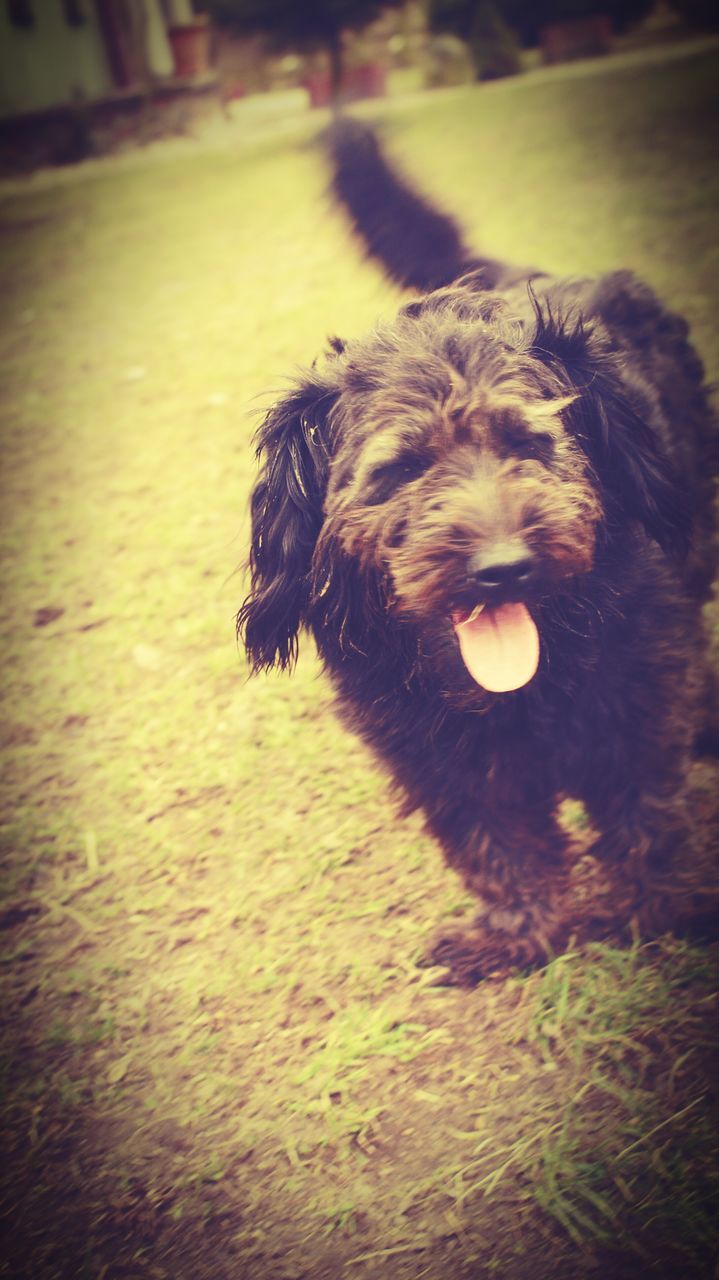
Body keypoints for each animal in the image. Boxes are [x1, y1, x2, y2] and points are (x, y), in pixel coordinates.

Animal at [239, 117, 716, 977]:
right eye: (399, 468)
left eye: (528, 440)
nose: (502, 570)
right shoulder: (432, 752)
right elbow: (494, 839)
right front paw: (517, 932)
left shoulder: (638, 691)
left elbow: (643, 809)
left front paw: (663, 909)